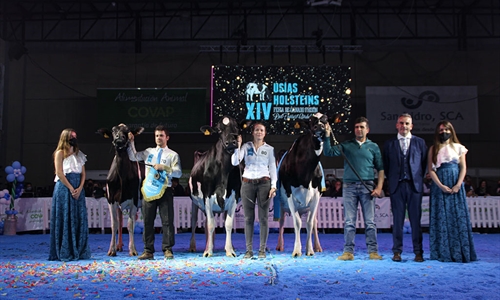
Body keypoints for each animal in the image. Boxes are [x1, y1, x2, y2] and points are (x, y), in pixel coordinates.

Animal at [98, 123, 144, 256]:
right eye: (113, 131)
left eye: (127, 131)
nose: (119, 138)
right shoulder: (111, 199)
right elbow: (114, 224)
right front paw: (111, 249)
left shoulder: (134, 200)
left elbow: (130, 225)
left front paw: (132, 249)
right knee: (119, 222)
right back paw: (118, 246)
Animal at [188, 116, 244, 256]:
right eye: (218, 130)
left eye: (236, 127)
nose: (231, 143)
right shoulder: (207, 195)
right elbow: (210, 225)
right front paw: (208, 251)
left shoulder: (234, 196)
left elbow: (228, 224)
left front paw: (230, 250)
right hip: (195, 203)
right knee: (195, 222)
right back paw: (195, 246)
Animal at [278, 112, 332, 258]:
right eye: (310, 121)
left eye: (326, 120)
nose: (320, 127)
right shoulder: (289, 192)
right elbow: (297, 222)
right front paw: (297, 250)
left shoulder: (317, 194)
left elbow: (309, 223)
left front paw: (310, 249)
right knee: (281, 222)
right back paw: (279, 246)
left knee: (315, 223)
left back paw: (318, 246)